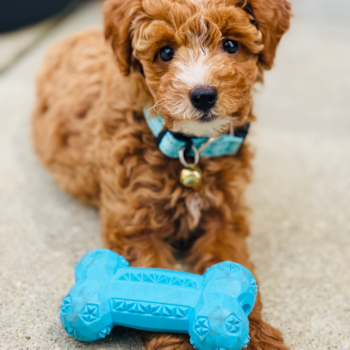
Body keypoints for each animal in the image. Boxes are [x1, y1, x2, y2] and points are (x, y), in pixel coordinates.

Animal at [32, 0, 292, 348]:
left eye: (230, 45)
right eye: (165, 52)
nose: (203, 95)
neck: (189, 151)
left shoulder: (224, 217)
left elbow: (231, 269)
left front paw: (256, 333)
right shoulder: (133, 221)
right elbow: (154, 284)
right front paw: (175, 338)